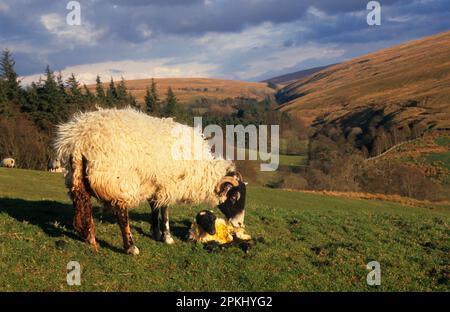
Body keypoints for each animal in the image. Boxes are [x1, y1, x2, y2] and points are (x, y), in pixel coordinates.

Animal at [55, 108, 250, 255]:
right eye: (234, 197)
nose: (240, 224)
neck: (198, 168)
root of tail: (79, 139)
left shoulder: (154, 183)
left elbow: (155, 208)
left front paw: (155, 232)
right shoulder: (168, 183)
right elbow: (165, 210)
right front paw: (167, 237)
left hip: (74, 177)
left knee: (81, 204)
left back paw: (89, 236)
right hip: (118, 179)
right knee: (121, 213)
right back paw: (130, 247)